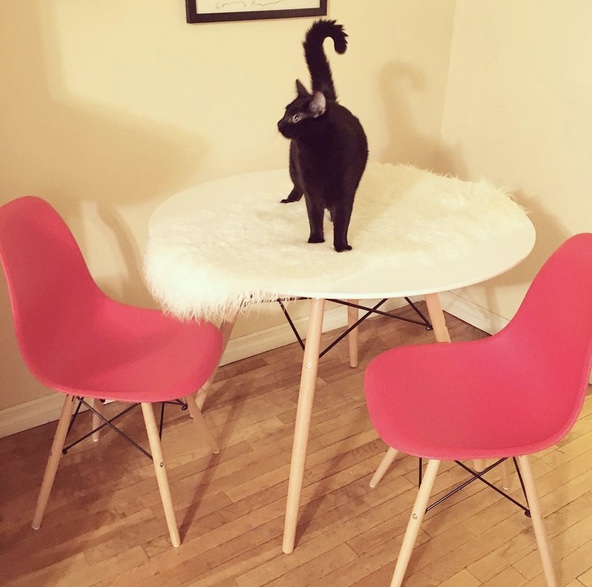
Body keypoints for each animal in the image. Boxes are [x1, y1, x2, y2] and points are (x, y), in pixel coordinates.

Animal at [276, 17, 368, 253]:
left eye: (296, 117)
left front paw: (341, 246)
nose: (279, 123)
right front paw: (315, 240)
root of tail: (330, 99)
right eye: (285, 112)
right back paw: (289, 200)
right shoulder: (311, 190)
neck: (318, 152)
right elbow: (313, 215)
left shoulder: (345, 191)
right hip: (293, 167)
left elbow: (343, 219)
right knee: (296, 185)